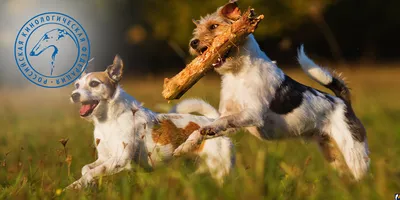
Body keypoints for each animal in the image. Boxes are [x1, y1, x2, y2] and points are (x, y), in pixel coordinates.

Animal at [66, 55, 234, 189]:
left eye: (94, 83)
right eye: (77, 85)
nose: (74, 95)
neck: (108, 120)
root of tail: (212, 120)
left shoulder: (120, 159)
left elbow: (92, 172)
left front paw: (80, 184)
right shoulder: (104, 157)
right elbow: (86, 169)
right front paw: (81, 184)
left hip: (219, 169)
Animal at [186, 0, 370, 180]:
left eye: (213, 26)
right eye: (198, 29)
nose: (193, 42)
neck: (237, 73)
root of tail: (343, 102)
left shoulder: (253, 113)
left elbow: (223, 120)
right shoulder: (233, 119)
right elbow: (211, 125)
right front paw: (190, 141)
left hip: (354, 152)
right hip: (332, 153)